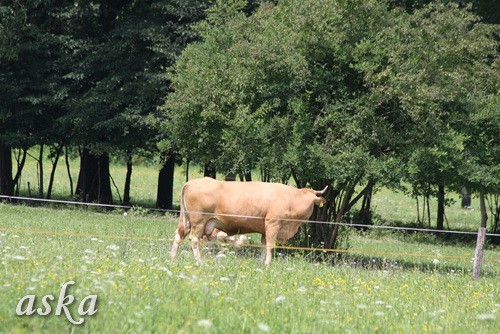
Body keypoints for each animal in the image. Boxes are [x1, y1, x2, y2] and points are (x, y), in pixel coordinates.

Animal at [171, 176, 328, 264]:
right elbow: (270, 246)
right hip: (198, 221)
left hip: (186, 220)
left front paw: (261, 262)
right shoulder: (273, 224)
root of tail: (190, 183)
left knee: (178, 236)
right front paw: (267, 264)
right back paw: (199, 260)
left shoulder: (265, 229)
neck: (291, 200)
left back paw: (172, 257)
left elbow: (264, 246)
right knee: (194, 239)